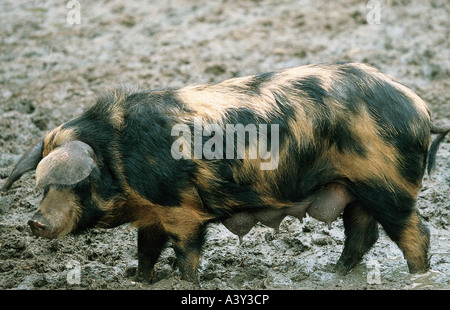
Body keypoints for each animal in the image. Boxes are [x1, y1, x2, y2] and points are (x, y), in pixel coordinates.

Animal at [1, 62, 448, 284]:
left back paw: (418, 277)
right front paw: (139, 280)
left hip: (387, 184)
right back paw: (334, 273)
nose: (34, 222)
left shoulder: (182, 210)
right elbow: (146, 250)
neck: (121, 158)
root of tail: (421, 108)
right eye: (42, 186)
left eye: (79, 182)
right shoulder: (152, 213)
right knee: (362, 232)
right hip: (354, 187)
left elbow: (186, 253)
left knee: (415, 233)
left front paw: (188, 284)